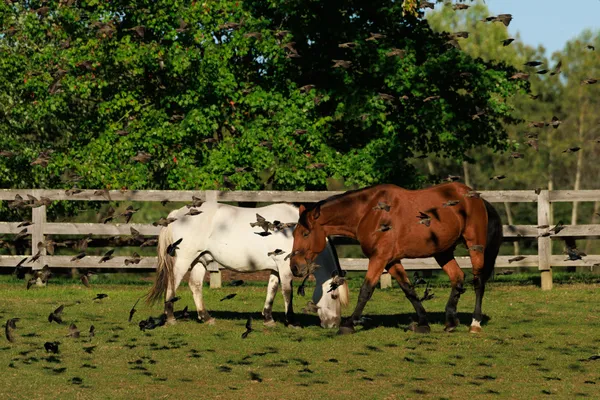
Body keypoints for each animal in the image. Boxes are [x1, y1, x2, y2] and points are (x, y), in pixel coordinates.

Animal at [147, 203, 350, 328]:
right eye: (334, 296)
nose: (334, 324)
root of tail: (176, 214)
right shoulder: (285, 268)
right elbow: (287, 292)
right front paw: (292, 322)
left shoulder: (275, 269)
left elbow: (272, 291)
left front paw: (268, 318)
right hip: (184, 259)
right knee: (172, 285)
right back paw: (171, 318)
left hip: (199, 260)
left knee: (195, 285)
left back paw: (206, 317)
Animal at [290, 184, 502, 334]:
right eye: (294, 233)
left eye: (306, 233)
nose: (295, 267)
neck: (368, 212)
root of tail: (477, 198)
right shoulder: (391, 261)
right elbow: (408, 289)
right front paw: (422, 323)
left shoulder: (379, 258)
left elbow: (366, 290)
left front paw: (348, 325)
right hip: (443, 252)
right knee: (457, 277)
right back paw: (450, 321)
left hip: (475, 246)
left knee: (478, 282)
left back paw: (475, 323)